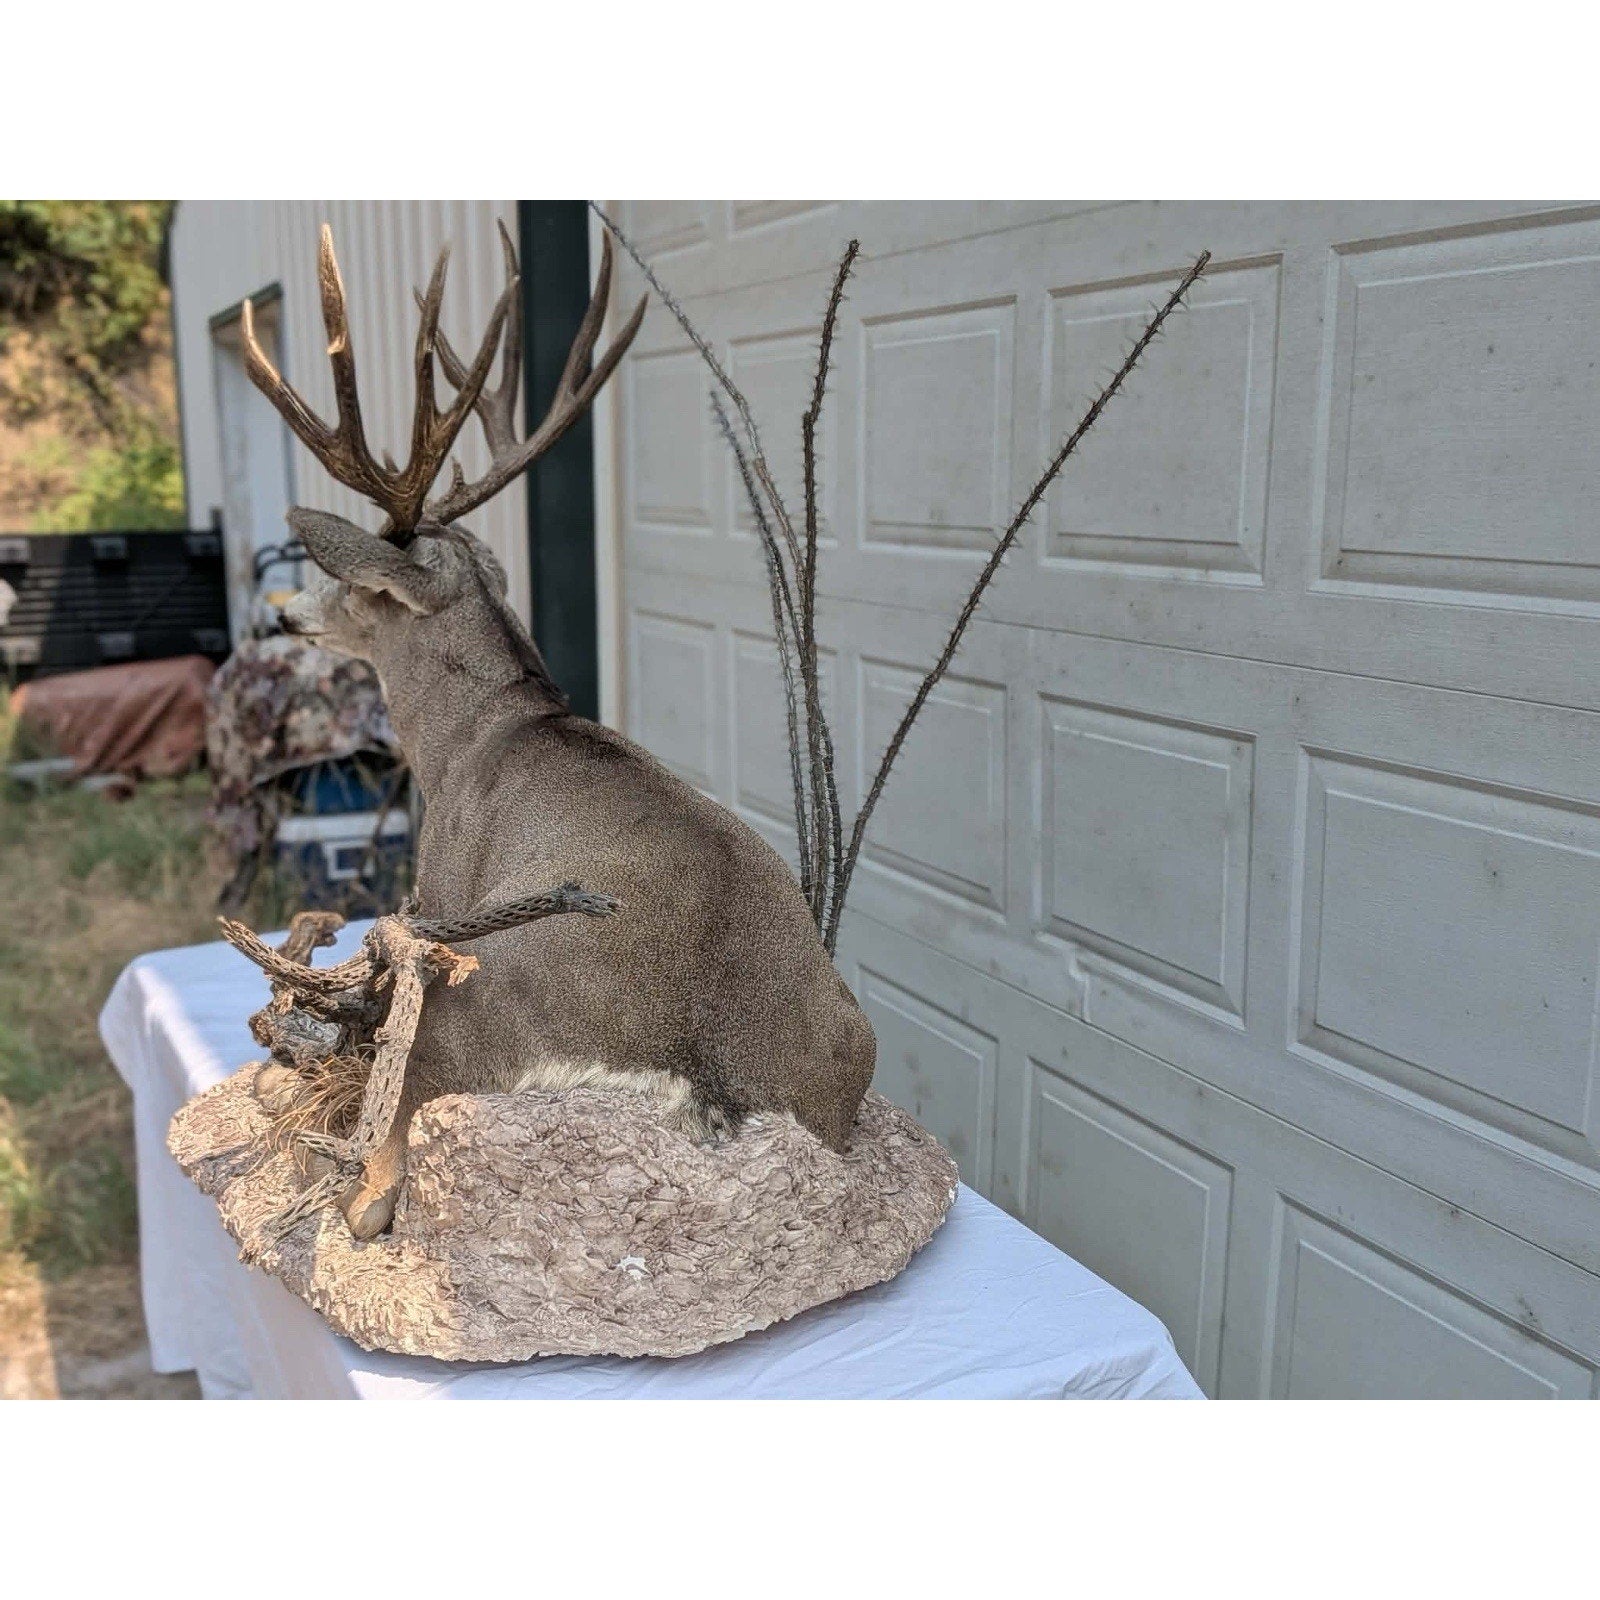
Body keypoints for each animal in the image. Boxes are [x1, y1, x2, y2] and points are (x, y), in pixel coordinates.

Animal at [241, 224, 876, 1239]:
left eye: (350, 584)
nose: (283, 612)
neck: (470, 738)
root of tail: (704, 1076)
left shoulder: (440, 884)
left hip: (461, 993)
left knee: (377, 1166)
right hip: (853, 1036)